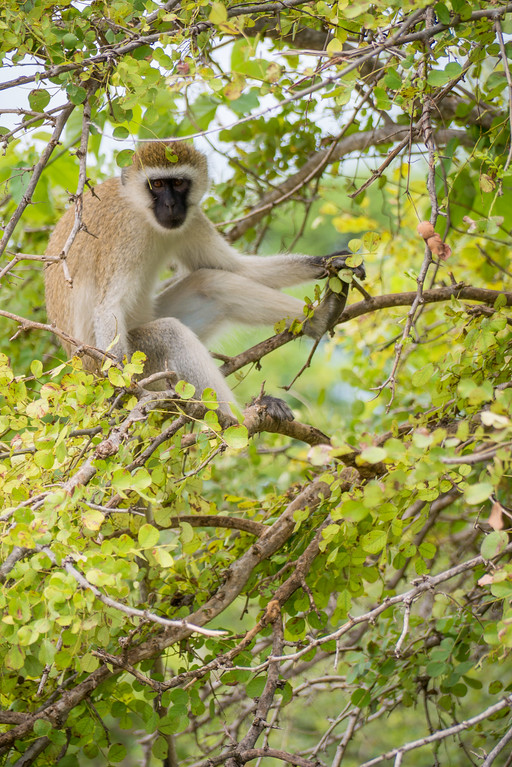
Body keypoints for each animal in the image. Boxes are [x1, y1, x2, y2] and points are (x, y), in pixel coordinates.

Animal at [44, 140, 364, 419]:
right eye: (157, 185)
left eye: (179, 183)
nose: (171, 206)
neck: (142, 212)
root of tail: (81, 370)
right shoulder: (126, 235)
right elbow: (108, 307)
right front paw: (125, 390)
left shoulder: (192, 218)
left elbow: (233, 267)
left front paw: (332, 261)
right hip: (136, 363)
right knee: (170, 333)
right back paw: (238, 418)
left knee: (211, 283)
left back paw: (321, 317)